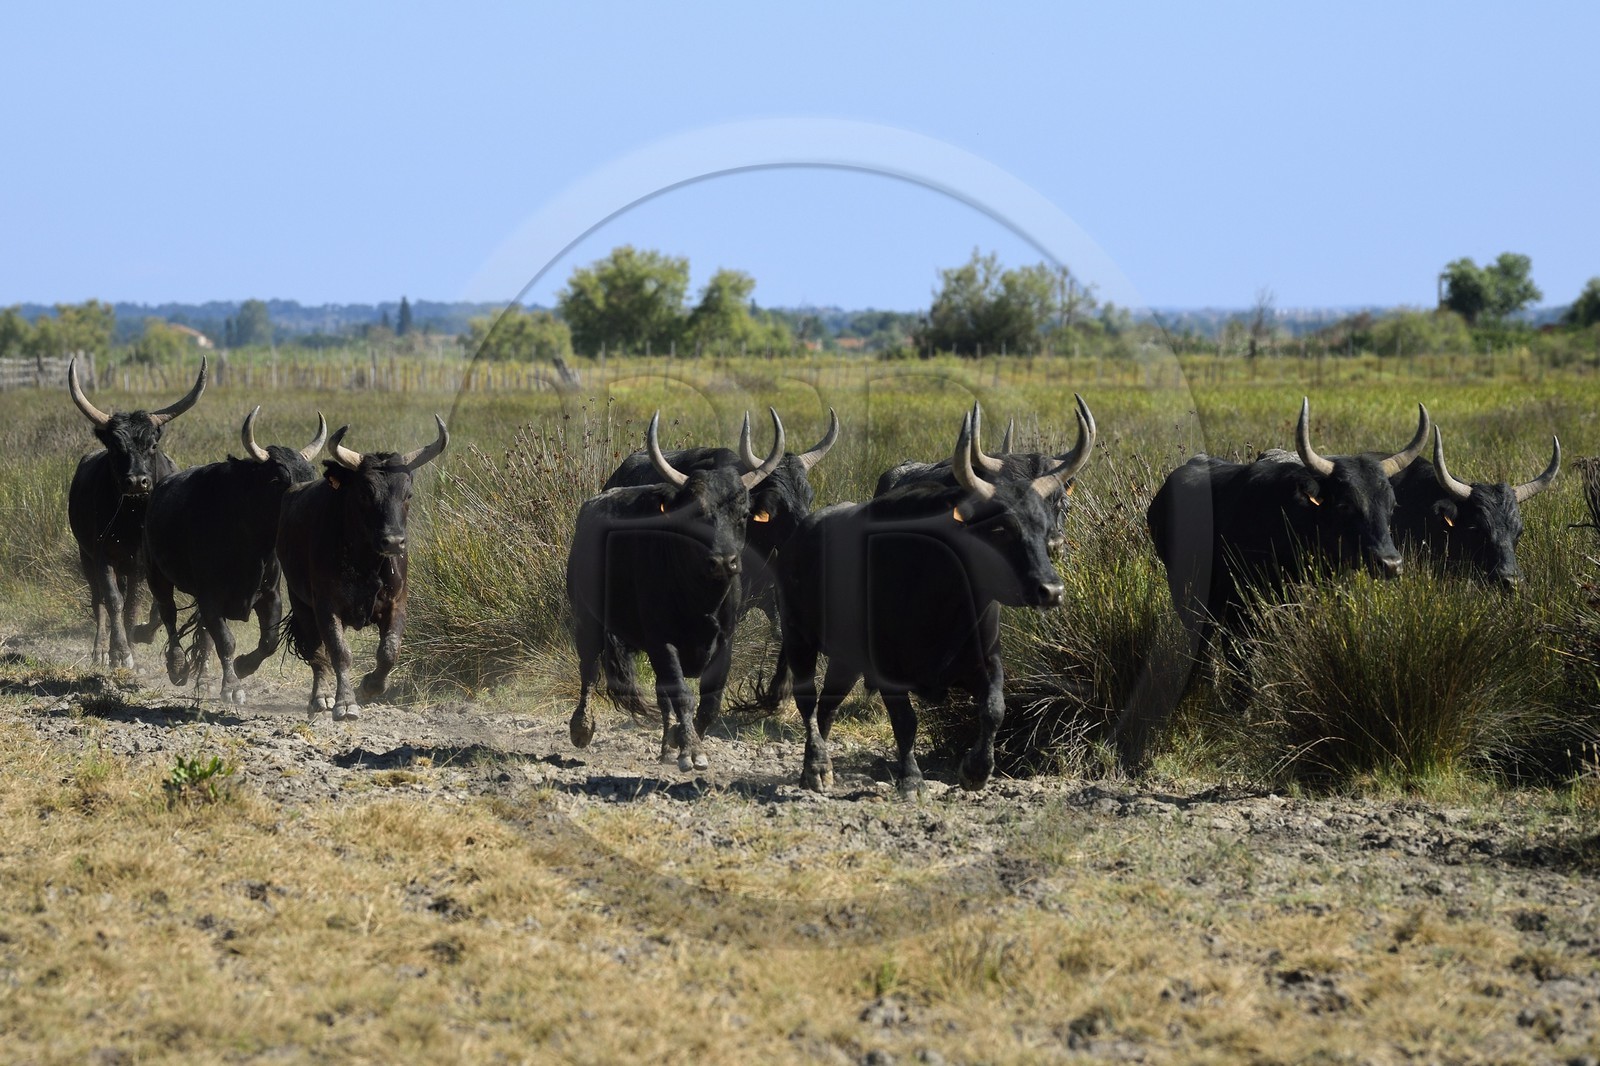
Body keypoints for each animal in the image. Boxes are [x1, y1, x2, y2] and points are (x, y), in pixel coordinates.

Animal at [66, 356, 207, 668]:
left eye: (152, 445)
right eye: (115, 447)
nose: (136, 482)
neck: (131, 516)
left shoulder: (142, 562)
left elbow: (134, 604)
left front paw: (132, 642)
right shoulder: (102, 554)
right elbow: (113, 600)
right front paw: (119, 652)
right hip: (86, 556)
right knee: (99, 601)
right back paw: (99, 650)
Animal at [144, 406, 328, 702]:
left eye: (311, 474)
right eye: (278, 479)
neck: (251, 547)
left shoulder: (270, 595)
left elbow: (269, 640)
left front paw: (243, 666)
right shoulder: (210, 597)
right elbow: (226, 641)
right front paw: (232, 687)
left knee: (203, 635)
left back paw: (203, 679)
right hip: (157, 576)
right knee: (169, 615)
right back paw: (177, 666)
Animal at [276, 416, 448, 720]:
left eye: (408, 494)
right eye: (366, 492)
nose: (394, 541)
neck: (366, 563)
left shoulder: (397, 603)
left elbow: (390, 650)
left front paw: (370, 686)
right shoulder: (326, 607)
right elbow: (339, 653)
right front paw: (345, 702)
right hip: (300, 603)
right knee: (316, 653)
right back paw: (320, 697)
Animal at [567, 410, 785, 771]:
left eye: (743, 515)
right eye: (697, 513)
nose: (724, 561)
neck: (700, 600)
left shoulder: (724, 642)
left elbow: (709, 701)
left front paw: (679, 741)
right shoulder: (662, 641)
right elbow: (682, 693)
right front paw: (691, 751)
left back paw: (666, 745)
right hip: (587, 620)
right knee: (589, 669)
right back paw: (581, 728)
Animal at [776, 400, 1095, 797]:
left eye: (1052, 515)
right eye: (1000, 527)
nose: (1051, 590)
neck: (945, 597)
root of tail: (799, 536)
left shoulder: (987, 661)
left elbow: (995, 708)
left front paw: (976, 770)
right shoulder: (886, 670)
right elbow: (905, 721)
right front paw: (911, 779)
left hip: (844, 660)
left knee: (827, 707)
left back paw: (817, 768)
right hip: (799, 639)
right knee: (806, 700)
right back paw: (816, 768)